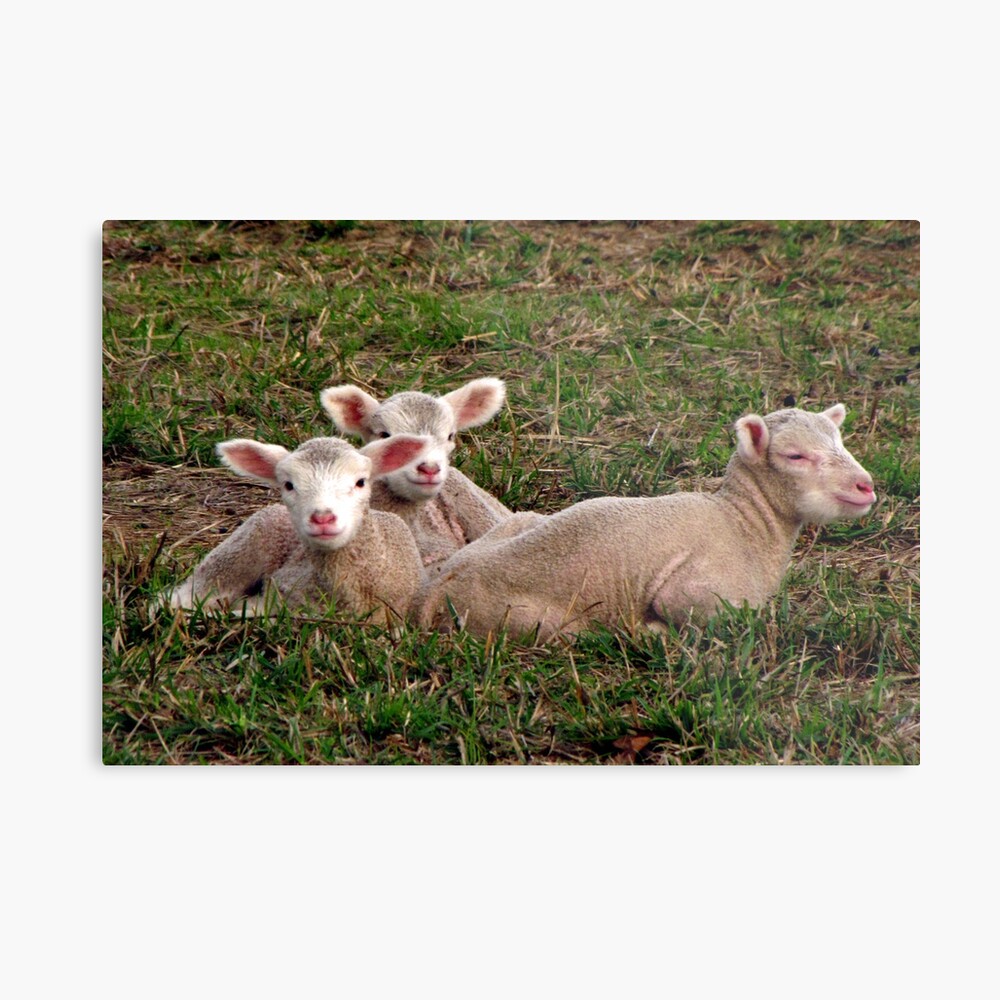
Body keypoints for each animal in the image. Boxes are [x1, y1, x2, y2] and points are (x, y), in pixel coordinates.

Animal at [416, 404, 877, 642]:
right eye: (795, 455)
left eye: (840, 441)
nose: (867, 485)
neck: (746, 524)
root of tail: (436, 590)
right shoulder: (699, 592)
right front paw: (657, 628)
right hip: (536, 621)